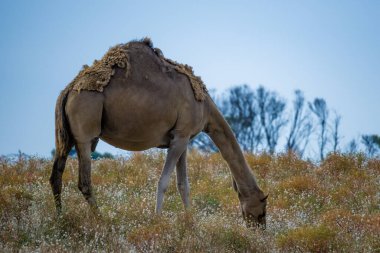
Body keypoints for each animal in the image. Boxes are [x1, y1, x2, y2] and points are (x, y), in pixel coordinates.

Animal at [50, 38, 268, 227]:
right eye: (263, 207)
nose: (260, 229)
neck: (206, 109)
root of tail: (68, 91)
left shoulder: (183, 138)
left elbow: (183, 184)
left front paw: (190, 222)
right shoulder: (180, 137)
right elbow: (163, 182)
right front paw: (157, 220)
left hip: (66, 136)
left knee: (56, 175)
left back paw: (60, 219)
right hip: (86, 128)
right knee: (84, 181)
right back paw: (102, 221)